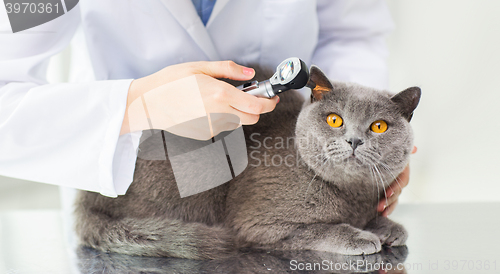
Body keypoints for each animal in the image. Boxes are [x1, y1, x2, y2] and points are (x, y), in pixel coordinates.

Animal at [73, 66, 418, 260]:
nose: (354, 140)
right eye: (335, 119)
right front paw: (359, 236)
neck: (351, 196)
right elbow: (315, 230)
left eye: (379, 126)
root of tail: (88, 196)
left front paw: (387, 226)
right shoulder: (256, 225)